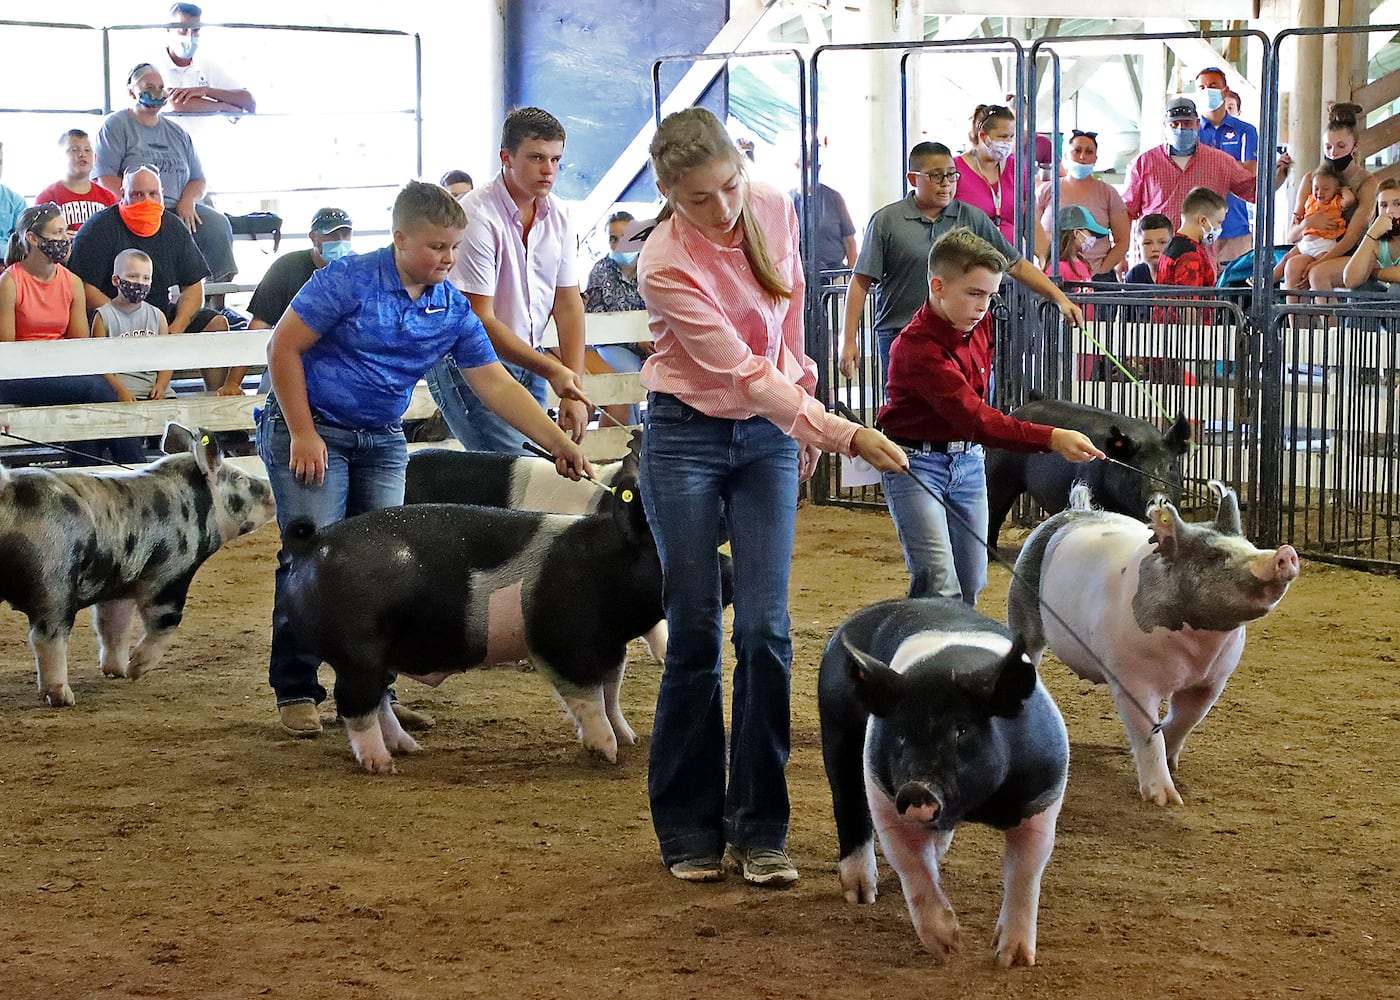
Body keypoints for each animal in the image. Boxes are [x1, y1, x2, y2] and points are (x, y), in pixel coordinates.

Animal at [0, 425, 275, 705]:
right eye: (239, 478)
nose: (270, 486)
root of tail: (7, 491)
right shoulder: (171, 574)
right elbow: (166, 622)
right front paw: (135, 670)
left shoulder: (117, 585)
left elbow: (114, 627)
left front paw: (118, 671)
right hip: (54, 581)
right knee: (47, 637)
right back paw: (63, 698)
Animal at [280, 487, 672, 773]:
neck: (605, 568)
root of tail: (313, 543)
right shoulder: (563, 643)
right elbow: (589, 698)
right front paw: (609, 753)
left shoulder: (611, 647)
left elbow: (611, 694)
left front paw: (629, 738)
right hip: (357, 651)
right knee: (355, 704)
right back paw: (383, 765)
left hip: (375, 658)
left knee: (378, 701)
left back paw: (411, 749)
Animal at [817, 591, 1064, 963]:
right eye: (900, 735)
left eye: (961, 729)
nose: (916, 788)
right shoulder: (884, 793)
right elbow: (912, 867)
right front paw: (949, 945)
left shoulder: (1044, 795)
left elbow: (1026, 871)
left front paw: (1014, 959)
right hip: (837, 728)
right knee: (848, 804)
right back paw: (861, 894)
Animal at [1013, 481, 1293, 801]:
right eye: (1213, 556)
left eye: (1249, 545)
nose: (1284, 552)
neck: (1198, 650)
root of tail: (1074, 510)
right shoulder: (1131, 678)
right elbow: (1148, 732)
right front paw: (1166, 799)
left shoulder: (1213, 679)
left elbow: (1187, 719)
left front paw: (1171, 761)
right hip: (1021, 606)